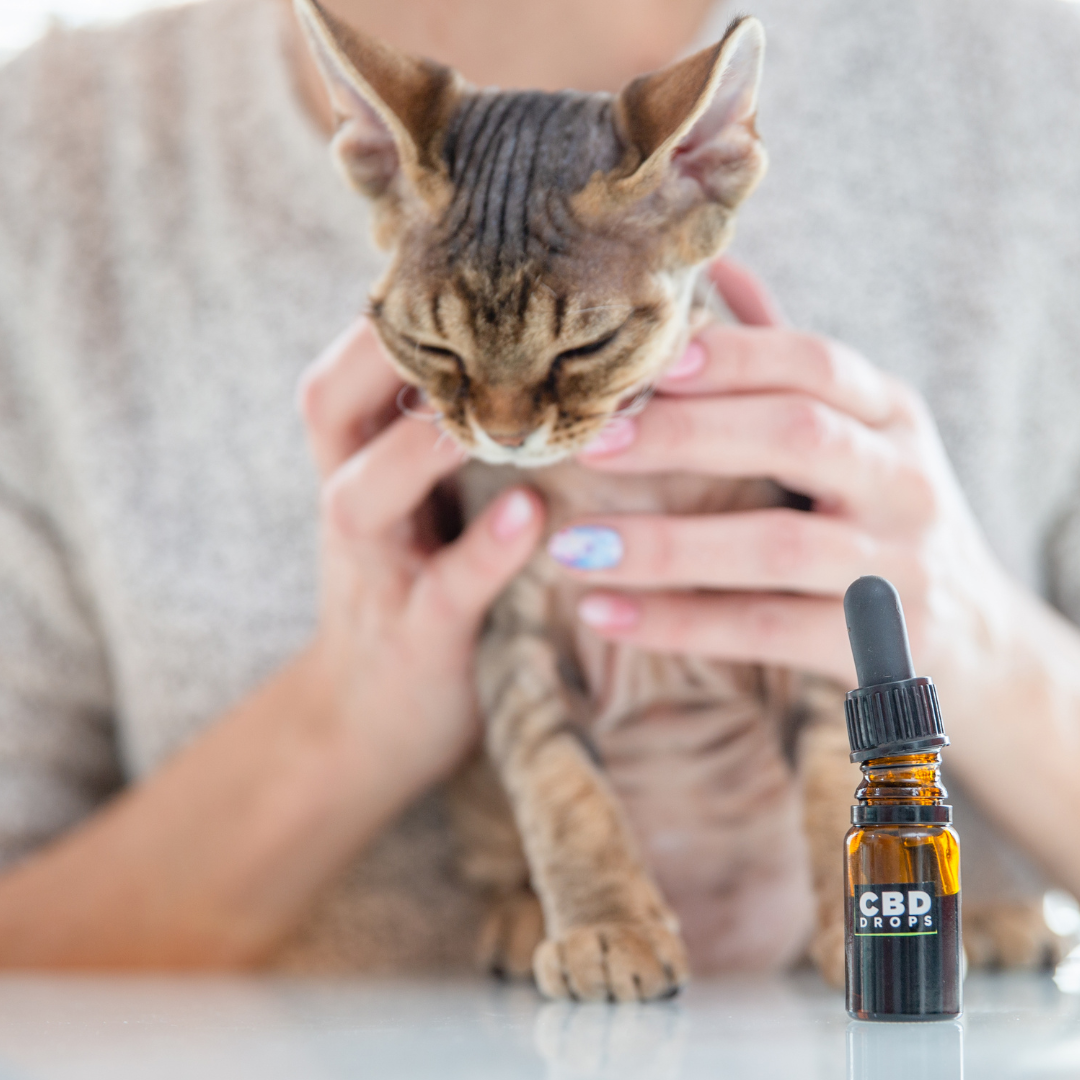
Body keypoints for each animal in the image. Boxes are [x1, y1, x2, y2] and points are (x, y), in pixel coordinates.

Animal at [291, 0, 1067, 997]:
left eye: (585, 348)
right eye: (431, 348)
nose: (502, 435)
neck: (632, 488)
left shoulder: (799, 614)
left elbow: (833, 770)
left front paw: (857, 930)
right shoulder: (515, 640)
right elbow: (561, 785)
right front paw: (607, 928)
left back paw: (1001, 924)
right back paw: (519, 920)